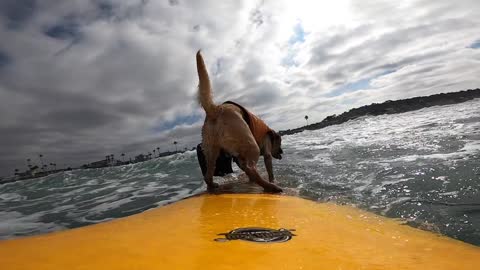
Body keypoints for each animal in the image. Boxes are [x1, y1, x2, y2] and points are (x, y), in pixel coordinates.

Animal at [196, 50, 284, 193]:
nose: (282, 152)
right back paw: (271, 186)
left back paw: (212, 186)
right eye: (279, 143)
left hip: (210, 151)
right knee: (251, 169)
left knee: (208, 175)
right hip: (251, 145)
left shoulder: (239, 157)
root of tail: (215, 109)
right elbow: (269, 168)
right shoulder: (266, 151)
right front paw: (272, 180)